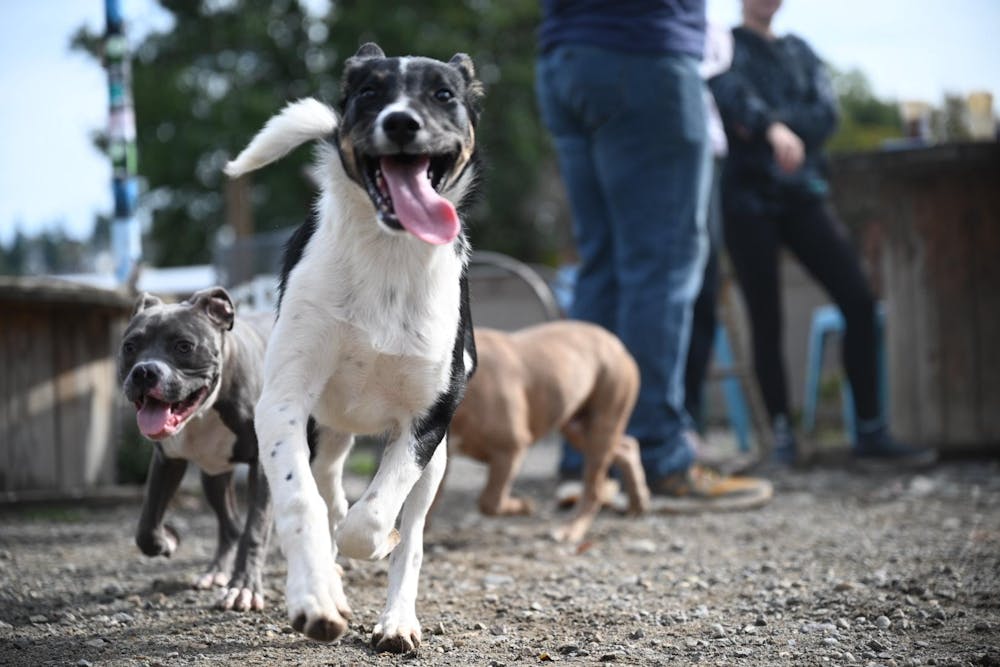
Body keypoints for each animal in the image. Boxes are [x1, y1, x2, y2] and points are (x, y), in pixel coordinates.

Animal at [118, 287, 275, 612]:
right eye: (130, 346)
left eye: (184, 346)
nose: (144, 372)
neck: (206, 410)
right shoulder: (167, 461)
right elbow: (146, 525)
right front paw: (166, 541)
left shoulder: (263, 467)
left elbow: (255, 528)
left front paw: (244, 586)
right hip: (213, 477)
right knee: (229, 525)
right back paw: (215, 572)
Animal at [222, 43, 481, 652]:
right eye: (369, 93)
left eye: (444, 95)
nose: (402, 122)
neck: (388, 254)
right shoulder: (285, 401)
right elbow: (303, 502)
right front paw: (317, 601)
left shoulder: (428, 419)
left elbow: (375, 517)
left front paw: (375, 544)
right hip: (326, 428)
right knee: (325, 489)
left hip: (434, 460)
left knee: (409, 530)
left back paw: (397, 621)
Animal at [448, 321, 651, 542]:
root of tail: (614, 342)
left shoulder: (510, 450)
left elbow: (490, 502)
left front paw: (524, 506)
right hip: (578, 429)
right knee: (626, 447)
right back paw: (639, 500)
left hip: (602, 428)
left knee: (593, 490)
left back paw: (572, 529)